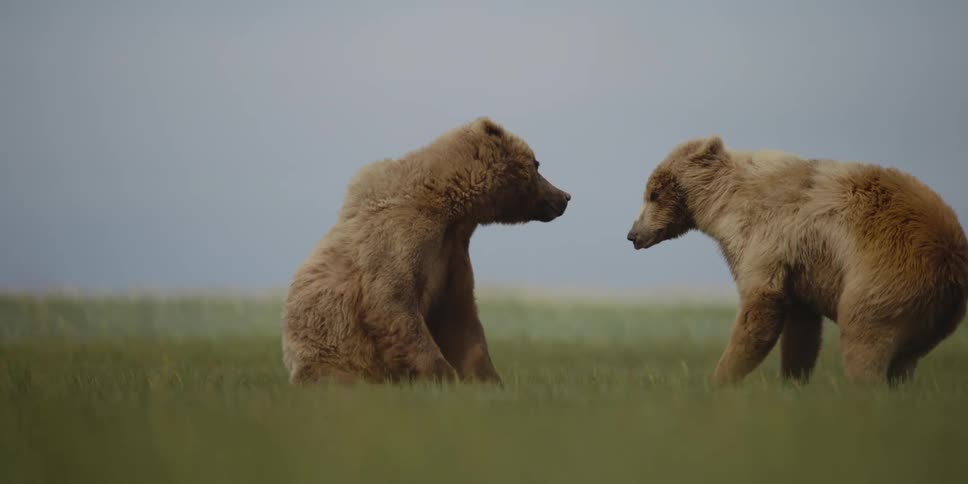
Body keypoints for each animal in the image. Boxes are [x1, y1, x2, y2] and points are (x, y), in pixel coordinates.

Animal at [282, 117, 571, 384]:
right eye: (537, 164)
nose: (565, 197)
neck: (451, 209)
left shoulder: (452, 254)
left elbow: (460, 317)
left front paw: (487, 379)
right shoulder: (403, 237)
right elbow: (394, 302)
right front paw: (443, 375)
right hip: (329, 355)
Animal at [626, 136, 968, 385]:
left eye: (653, 194)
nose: (633, 234)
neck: (723, 205)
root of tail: (953, 258)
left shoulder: (766, 239)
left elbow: (760, 307)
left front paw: (719, 379)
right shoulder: (801, 266)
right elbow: (801, 329)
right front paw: (792, 382)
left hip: (885, 277)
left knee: (864, 336)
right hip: (930, 313)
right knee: (904, 359)